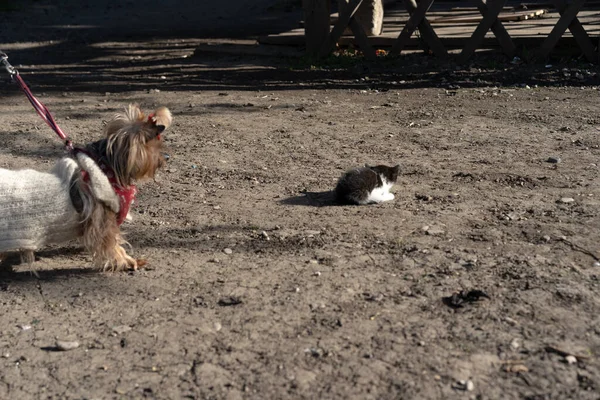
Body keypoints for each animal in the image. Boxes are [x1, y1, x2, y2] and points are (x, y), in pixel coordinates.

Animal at [0, 104, 171, 272]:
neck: (106, 169)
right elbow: (113, 246)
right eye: (155, 146)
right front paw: (128, 261)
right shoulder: (103, 222)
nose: (166, 157)